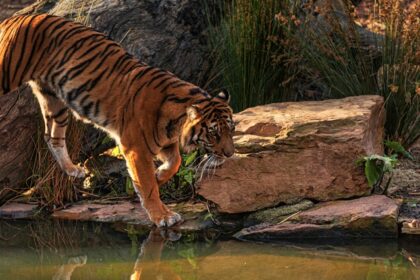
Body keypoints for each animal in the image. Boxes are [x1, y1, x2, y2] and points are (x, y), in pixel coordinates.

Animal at [0, 13, 235, 228]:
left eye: (231, 130)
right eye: (214, 133)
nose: (230, 154)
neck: (176, 124)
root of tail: (15, 17)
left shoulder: (165, 143)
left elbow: (175, 163)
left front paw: (159, 176)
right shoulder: (136, 148)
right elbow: (148, 186)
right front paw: (163, 216)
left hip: (54, 101)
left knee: (51, 136)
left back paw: (72, 169)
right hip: (8, 75)